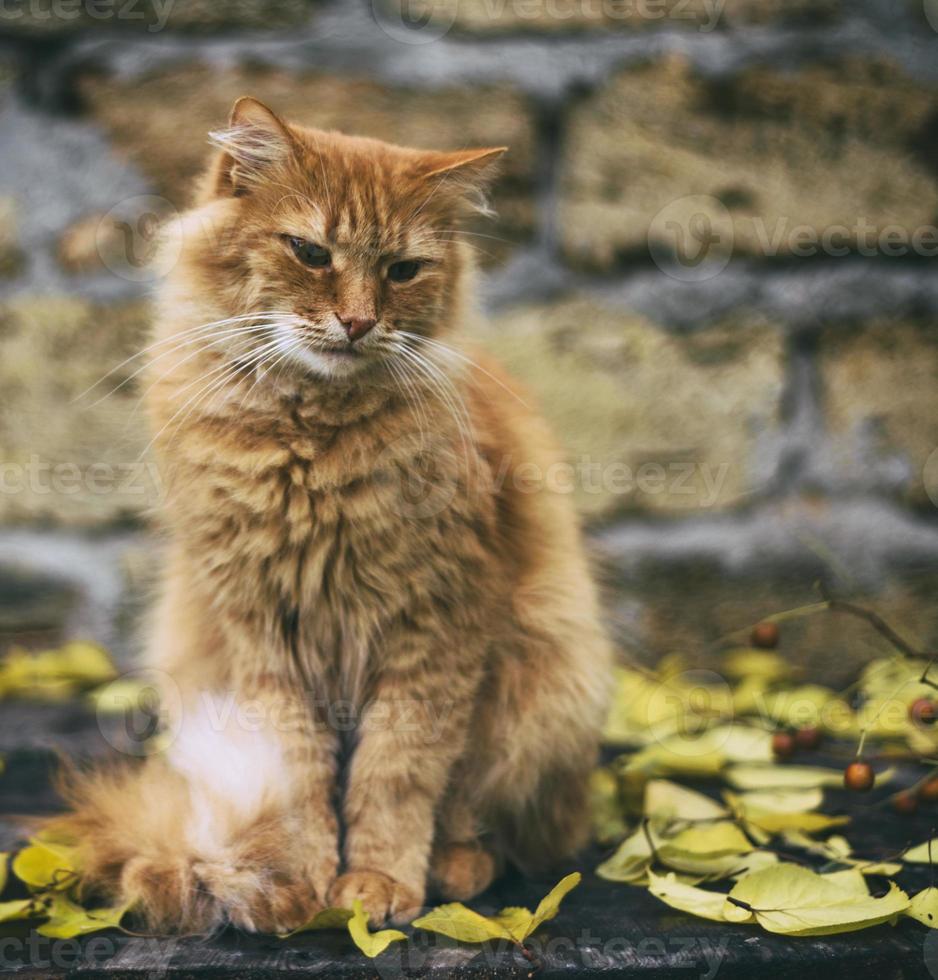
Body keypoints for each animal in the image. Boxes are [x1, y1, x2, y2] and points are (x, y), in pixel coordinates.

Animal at [60, 99, 616, 936]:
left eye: (402, 270)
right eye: (311, 253)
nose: (356, 322)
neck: (312, 442)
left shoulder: (435, 633)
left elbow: (395, 776)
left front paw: (378, 882)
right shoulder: (263, 637)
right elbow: (298, 782)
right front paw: (302, 882)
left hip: (545, 683)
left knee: (494, 821)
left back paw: (457, 869)